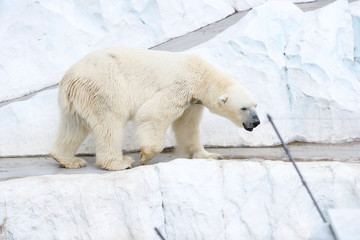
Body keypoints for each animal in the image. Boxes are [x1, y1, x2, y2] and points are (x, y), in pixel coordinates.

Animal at [50, 47, 258, 171]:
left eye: (256, 105)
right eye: (243, 108)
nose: (256, 122)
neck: (201, 75)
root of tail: (70, 77)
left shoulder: (192, 101)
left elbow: (188, 127)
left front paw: (210, 155)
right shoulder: (179, 86)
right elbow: (152, 114)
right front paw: (145, 156)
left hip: (79, 96)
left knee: (73, 126)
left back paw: (68, 160)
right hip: (105, 86)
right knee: (111, 121)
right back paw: (119, 163)